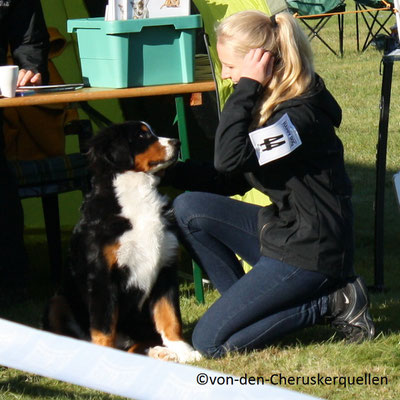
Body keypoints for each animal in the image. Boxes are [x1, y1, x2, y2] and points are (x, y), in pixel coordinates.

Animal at [43, 120, 202, 364]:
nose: (177, 143)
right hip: (56, 302)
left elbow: (170, 316)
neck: (138, 196)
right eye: (141, 135)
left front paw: (183, 350)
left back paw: (160, 351)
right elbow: (104, 327)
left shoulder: (165, 268)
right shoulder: (102, 276)